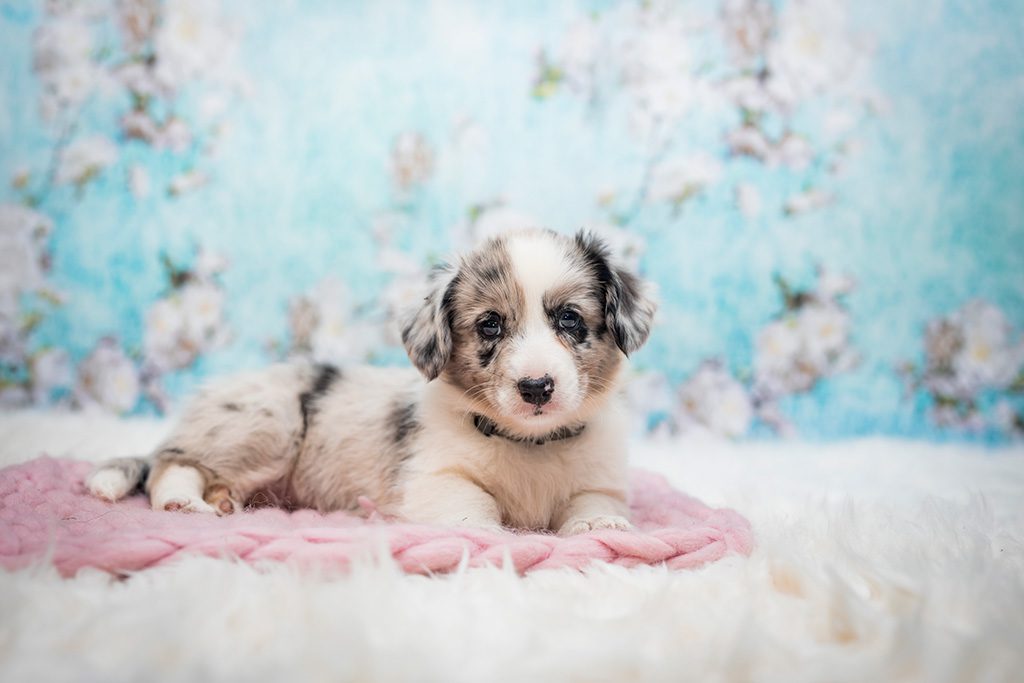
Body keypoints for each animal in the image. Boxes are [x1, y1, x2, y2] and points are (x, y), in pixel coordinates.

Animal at [88, 232, 655, 536]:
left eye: (570, 320)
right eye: (491, 325)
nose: (537, 387)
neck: (530, 445)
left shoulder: (600, 482)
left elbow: (593, 506)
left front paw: (597, 528)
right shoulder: (437, 479)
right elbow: (475, 508)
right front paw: (485, 530)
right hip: (264, 426)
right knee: (172, 463)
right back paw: (183, 502)